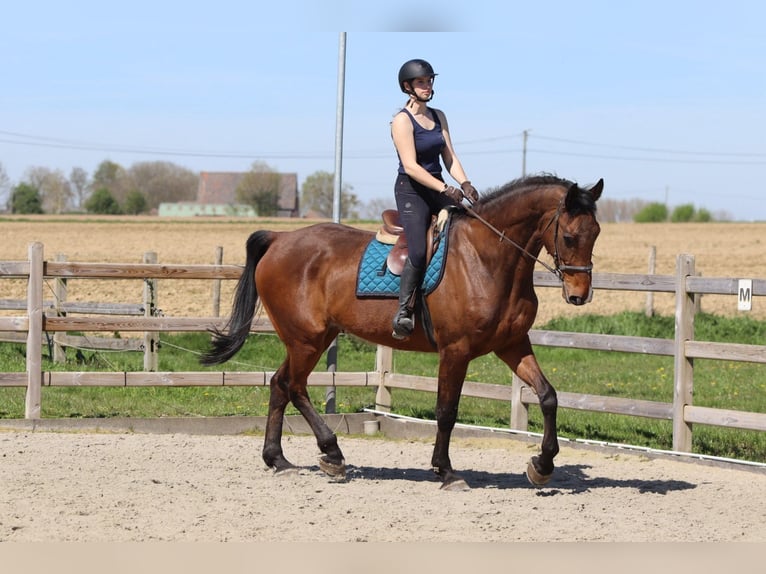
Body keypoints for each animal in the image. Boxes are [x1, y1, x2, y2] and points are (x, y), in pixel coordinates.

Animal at [201, 174, 603, 490]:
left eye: (596, 233)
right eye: (569, 237)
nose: (579, 295)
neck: (486, 259)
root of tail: (279, 238)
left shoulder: (512, 344)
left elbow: (548, 396)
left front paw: (542, 465)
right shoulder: (456, 350)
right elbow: (446, 411)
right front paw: (446, 471)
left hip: (313, 338)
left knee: (279, 385)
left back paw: (279, 459)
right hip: (306, 339)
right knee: (293, 386)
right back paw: (332, 452)